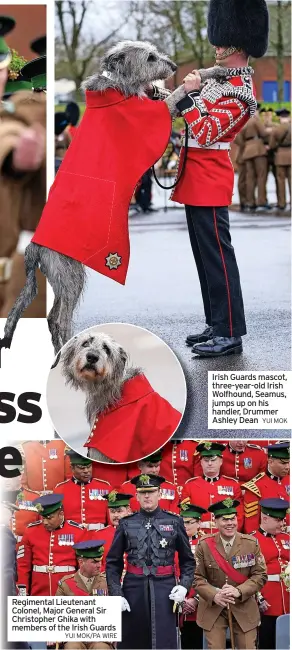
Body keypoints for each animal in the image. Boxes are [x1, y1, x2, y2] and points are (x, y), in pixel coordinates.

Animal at [1, 39, 228, 354]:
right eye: (150, 57)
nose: (172, 66)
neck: (117, 88)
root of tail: (33, 247)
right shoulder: (150, 117)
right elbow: (177, 94)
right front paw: (206, 74)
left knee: (52, 316)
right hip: (69, 273)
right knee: (58, 318)